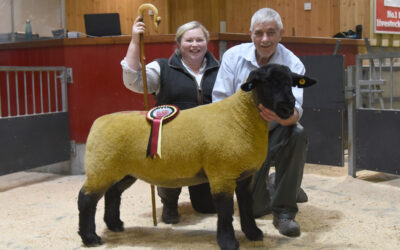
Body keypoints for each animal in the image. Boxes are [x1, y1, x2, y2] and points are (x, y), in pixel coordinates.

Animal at [77, 64, 316, 250]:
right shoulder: (222, 174)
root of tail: (98, 122)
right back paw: (90, 238)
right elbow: (225, 211)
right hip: (101, 168)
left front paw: (253, 233)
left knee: (112, 194)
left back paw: (115, 224)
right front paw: (228, 242)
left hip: (122, 171)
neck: (240, 116)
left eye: (290, 83)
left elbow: (246, 205)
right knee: (86, 199)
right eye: (265, 82)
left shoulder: (244, 176)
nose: (287, 107)